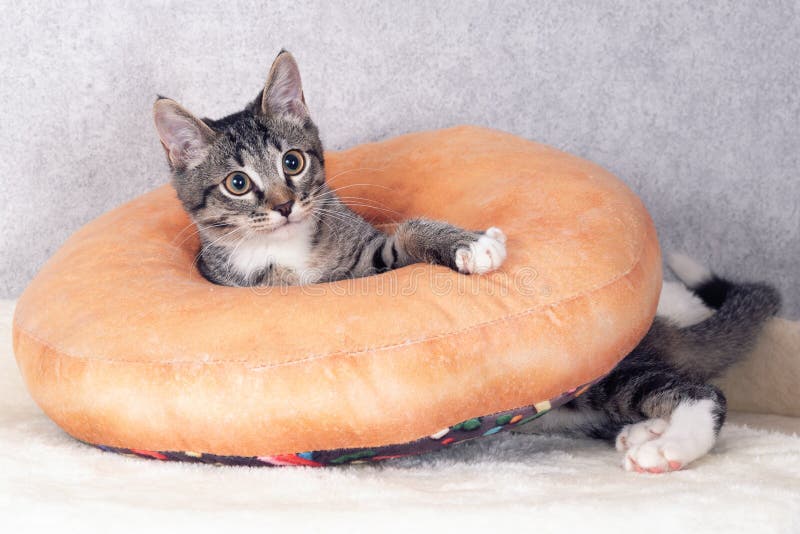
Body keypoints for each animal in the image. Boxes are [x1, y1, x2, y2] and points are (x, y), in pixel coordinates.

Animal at [152, 51, 506, 288]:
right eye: (237, 183)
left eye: (292, 162)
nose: (284, 205)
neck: (285, 249)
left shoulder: (369, 259)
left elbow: (405, 234)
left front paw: (469, 242)